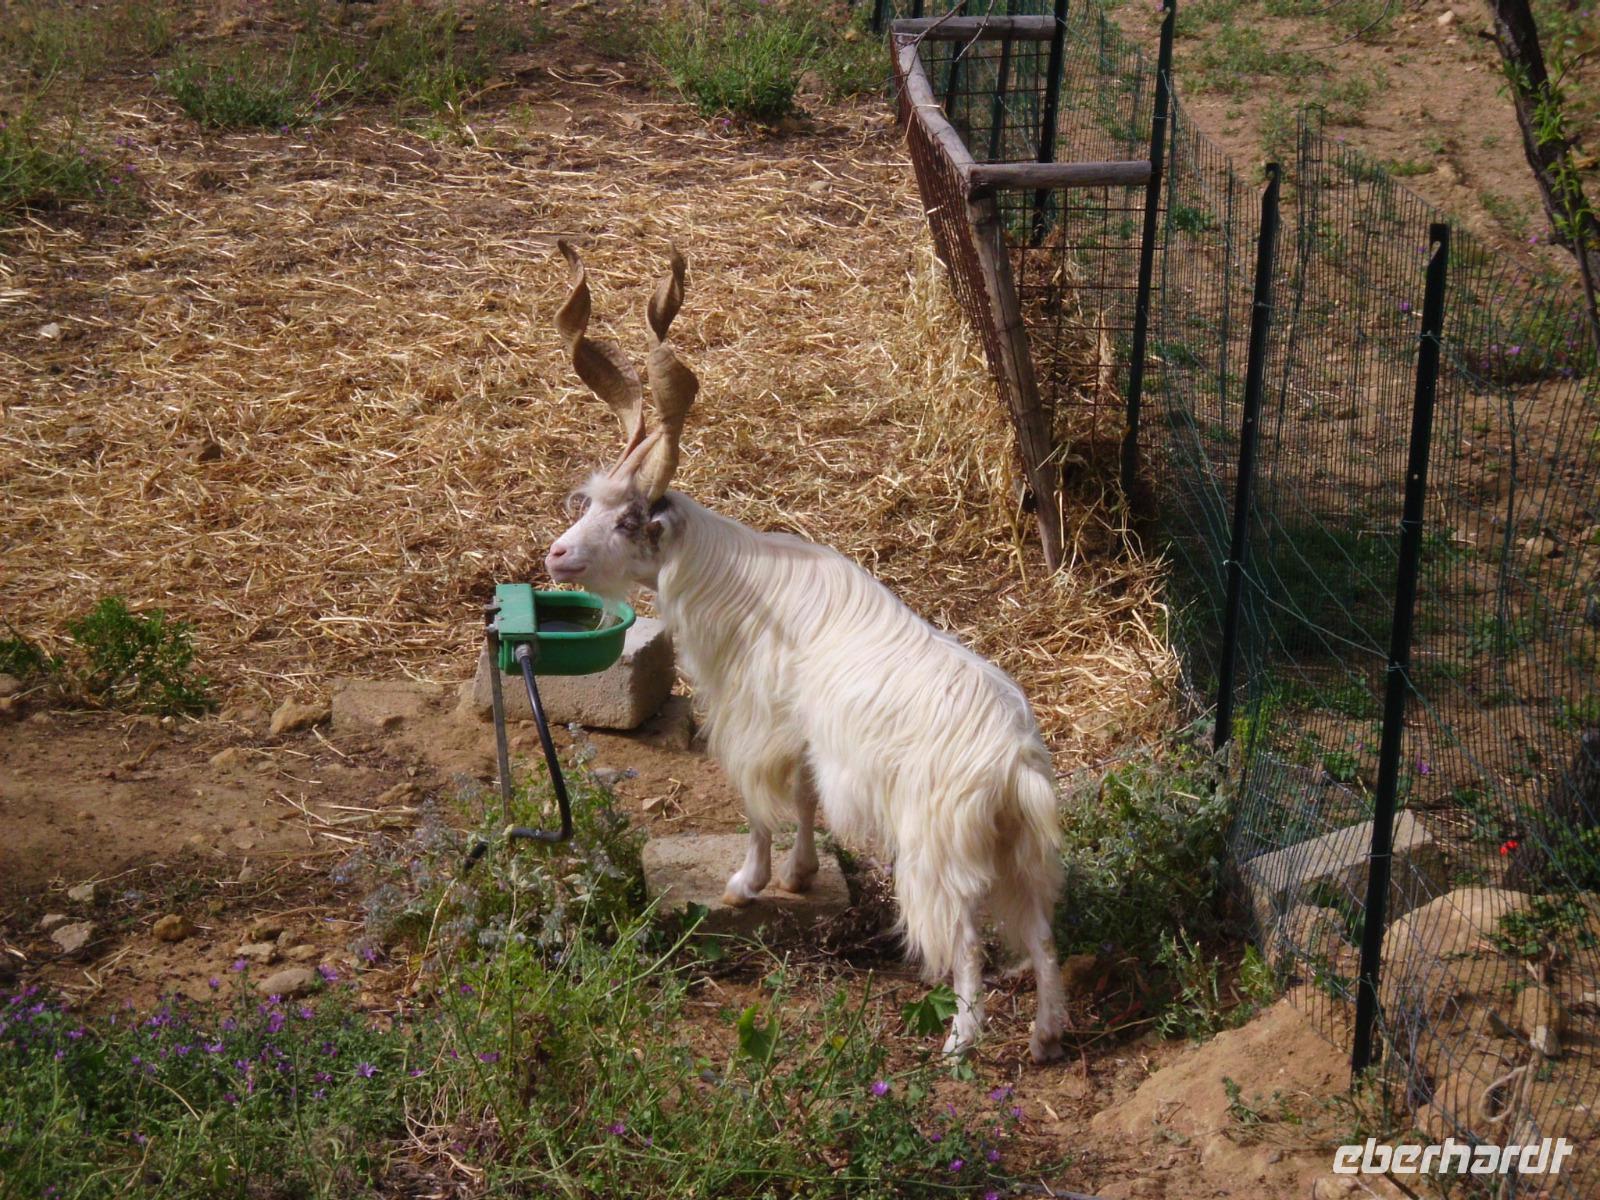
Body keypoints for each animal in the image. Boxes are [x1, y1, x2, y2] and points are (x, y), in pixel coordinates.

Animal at [543, 242, 1067, 1061]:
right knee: (1041, 937)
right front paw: (799, 875)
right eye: (590, 502)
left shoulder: (756, 721)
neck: (737, 576)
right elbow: (809, 796)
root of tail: (1014, 765)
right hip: (1021, 856)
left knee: (966, 945)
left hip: (939, 856)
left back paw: (959, 1044)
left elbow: (764, 802)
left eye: (630, 520)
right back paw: (1046, 1035)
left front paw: (748, 882)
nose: (558, 556)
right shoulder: (811, 736)